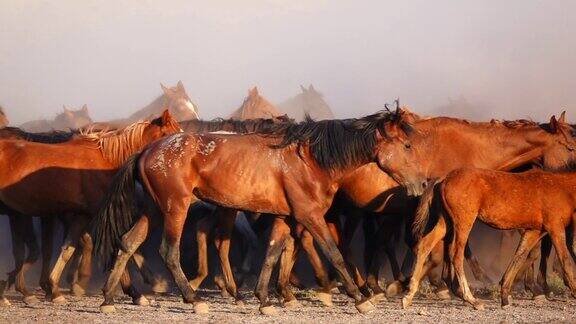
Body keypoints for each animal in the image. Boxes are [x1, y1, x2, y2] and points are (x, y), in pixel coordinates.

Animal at [0, 110, 181, 306]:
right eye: (173, 136)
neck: (106, 160)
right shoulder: (101, 216)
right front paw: (133, 292)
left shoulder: (82, 215)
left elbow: (68, 248)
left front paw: (55, 288)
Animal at [376, 111, 576, 308]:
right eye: (570, 147)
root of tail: (444, 179)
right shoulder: (553, 226)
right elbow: (562, 259)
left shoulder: (534, 229)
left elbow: (522, 254)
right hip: (462, 221)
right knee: (453, 253)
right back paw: (468, 297)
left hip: (445, 221)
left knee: (423, 243)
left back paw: (408, 293)